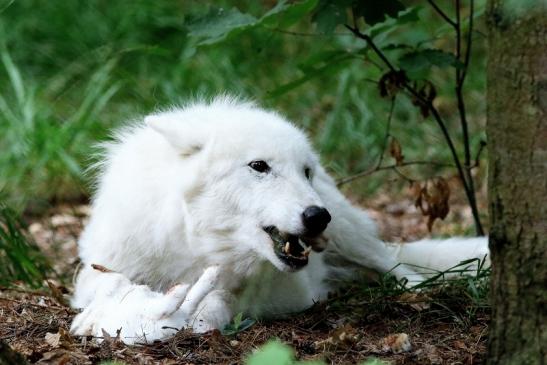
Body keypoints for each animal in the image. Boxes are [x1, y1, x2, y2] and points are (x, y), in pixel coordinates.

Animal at [69, 96, 488, 342]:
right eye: (259, 166)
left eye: (305, 172)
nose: (318, 216)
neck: (196, 245)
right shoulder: (99, 270)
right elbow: (111, 286)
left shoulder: (277, 293)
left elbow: (219, 297)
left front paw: (197, 315)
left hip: (354, 238)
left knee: (400, 267)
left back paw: (422, 292)